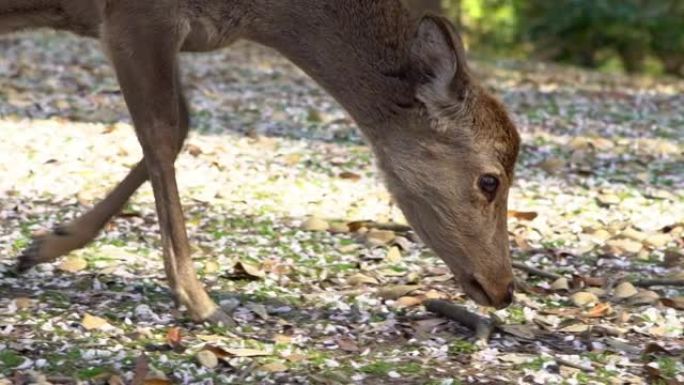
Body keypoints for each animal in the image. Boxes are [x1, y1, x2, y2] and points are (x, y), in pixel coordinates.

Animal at [2, 0, 520, 324]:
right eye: (490, 180)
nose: (503, 289)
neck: (257, 16)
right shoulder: (138, 18)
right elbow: (160, 132)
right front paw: (200, 301)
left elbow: (181, 127)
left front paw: (44, 244)